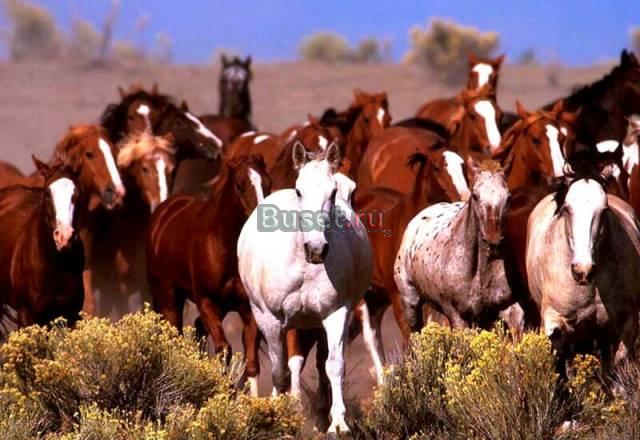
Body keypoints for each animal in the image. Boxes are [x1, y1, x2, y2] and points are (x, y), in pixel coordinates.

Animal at [147, 155, 271, 397]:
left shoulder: (248, 309)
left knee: (198, 329)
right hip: (168, 300)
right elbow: (224, 349)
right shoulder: (206, 301)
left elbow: (251, 361)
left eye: (268, 183)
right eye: (239, 185)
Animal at [237, 142, 372, 433]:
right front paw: (278, 417)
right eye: (299, 190)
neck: (303, 265)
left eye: (332, 192)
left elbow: (334, 366)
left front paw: (338, 424)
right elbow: (279, 373)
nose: (316, 249)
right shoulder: (270, 319)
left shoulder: (336, 313)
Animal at [395, 160, 520, 331]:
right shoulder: (457, 316)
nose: (492, 237)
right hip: (411, 303)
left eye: (508, 197)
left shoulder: (505, 308)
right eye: (475, 196)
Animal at [526, 162, 640, 372]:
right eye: (566, 209)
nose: (582, 270)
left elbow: (617, 362)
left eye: (604, 210)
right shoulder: (556, 319)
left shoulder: (628, 320)